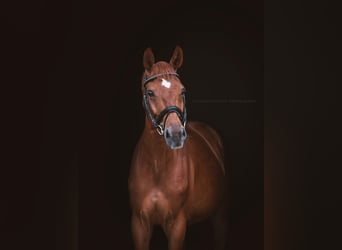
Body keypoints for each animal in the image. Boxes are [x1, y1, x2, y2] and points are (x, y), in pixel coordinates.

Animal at [128, 46, 227, 249]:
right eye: (150, 92)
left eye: (182, 91)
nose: (175, 135)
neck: (157, 166)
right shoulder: (139, 224)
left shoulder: (177, 226)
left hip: (219, 213)